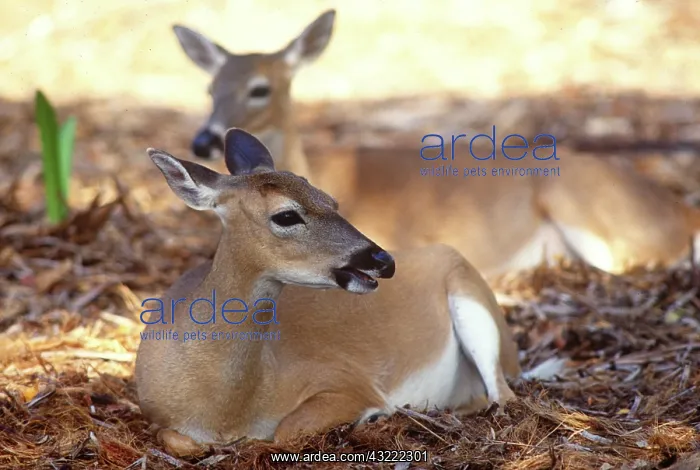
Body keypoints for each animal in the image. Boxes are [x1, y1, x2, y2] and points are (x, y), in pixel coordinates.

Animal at [134, 128, 521, 457]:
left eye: (330, 200)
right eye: (286, 215)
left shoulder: (345, 380)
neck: (224, 410)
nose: (383, 260)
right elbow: (175, 438)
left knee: (503, 396)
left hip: (471, 300)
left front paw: (372, 415)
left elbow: (284, 431)